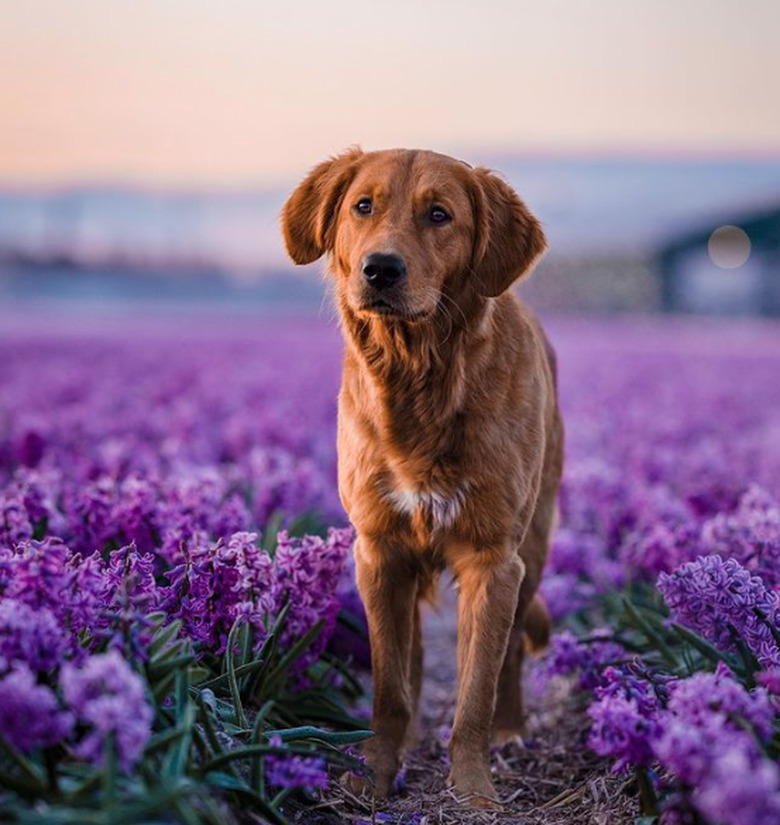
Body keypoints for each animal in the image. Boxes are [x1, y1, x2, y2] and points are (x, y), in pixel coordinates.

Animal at [284, 148, 564, 804]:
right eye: (363, 206)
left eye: (440, 215)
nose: (381, 269)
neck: (419, 378)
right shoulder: (379, 551)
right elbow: (391, 686)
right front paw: (374, 773)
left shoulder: (493, 560)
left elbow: (476, 692)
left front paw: (475, 790)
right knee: (408, 658)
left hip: (534, 547)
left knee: (512, 652)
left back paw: (512, 730)